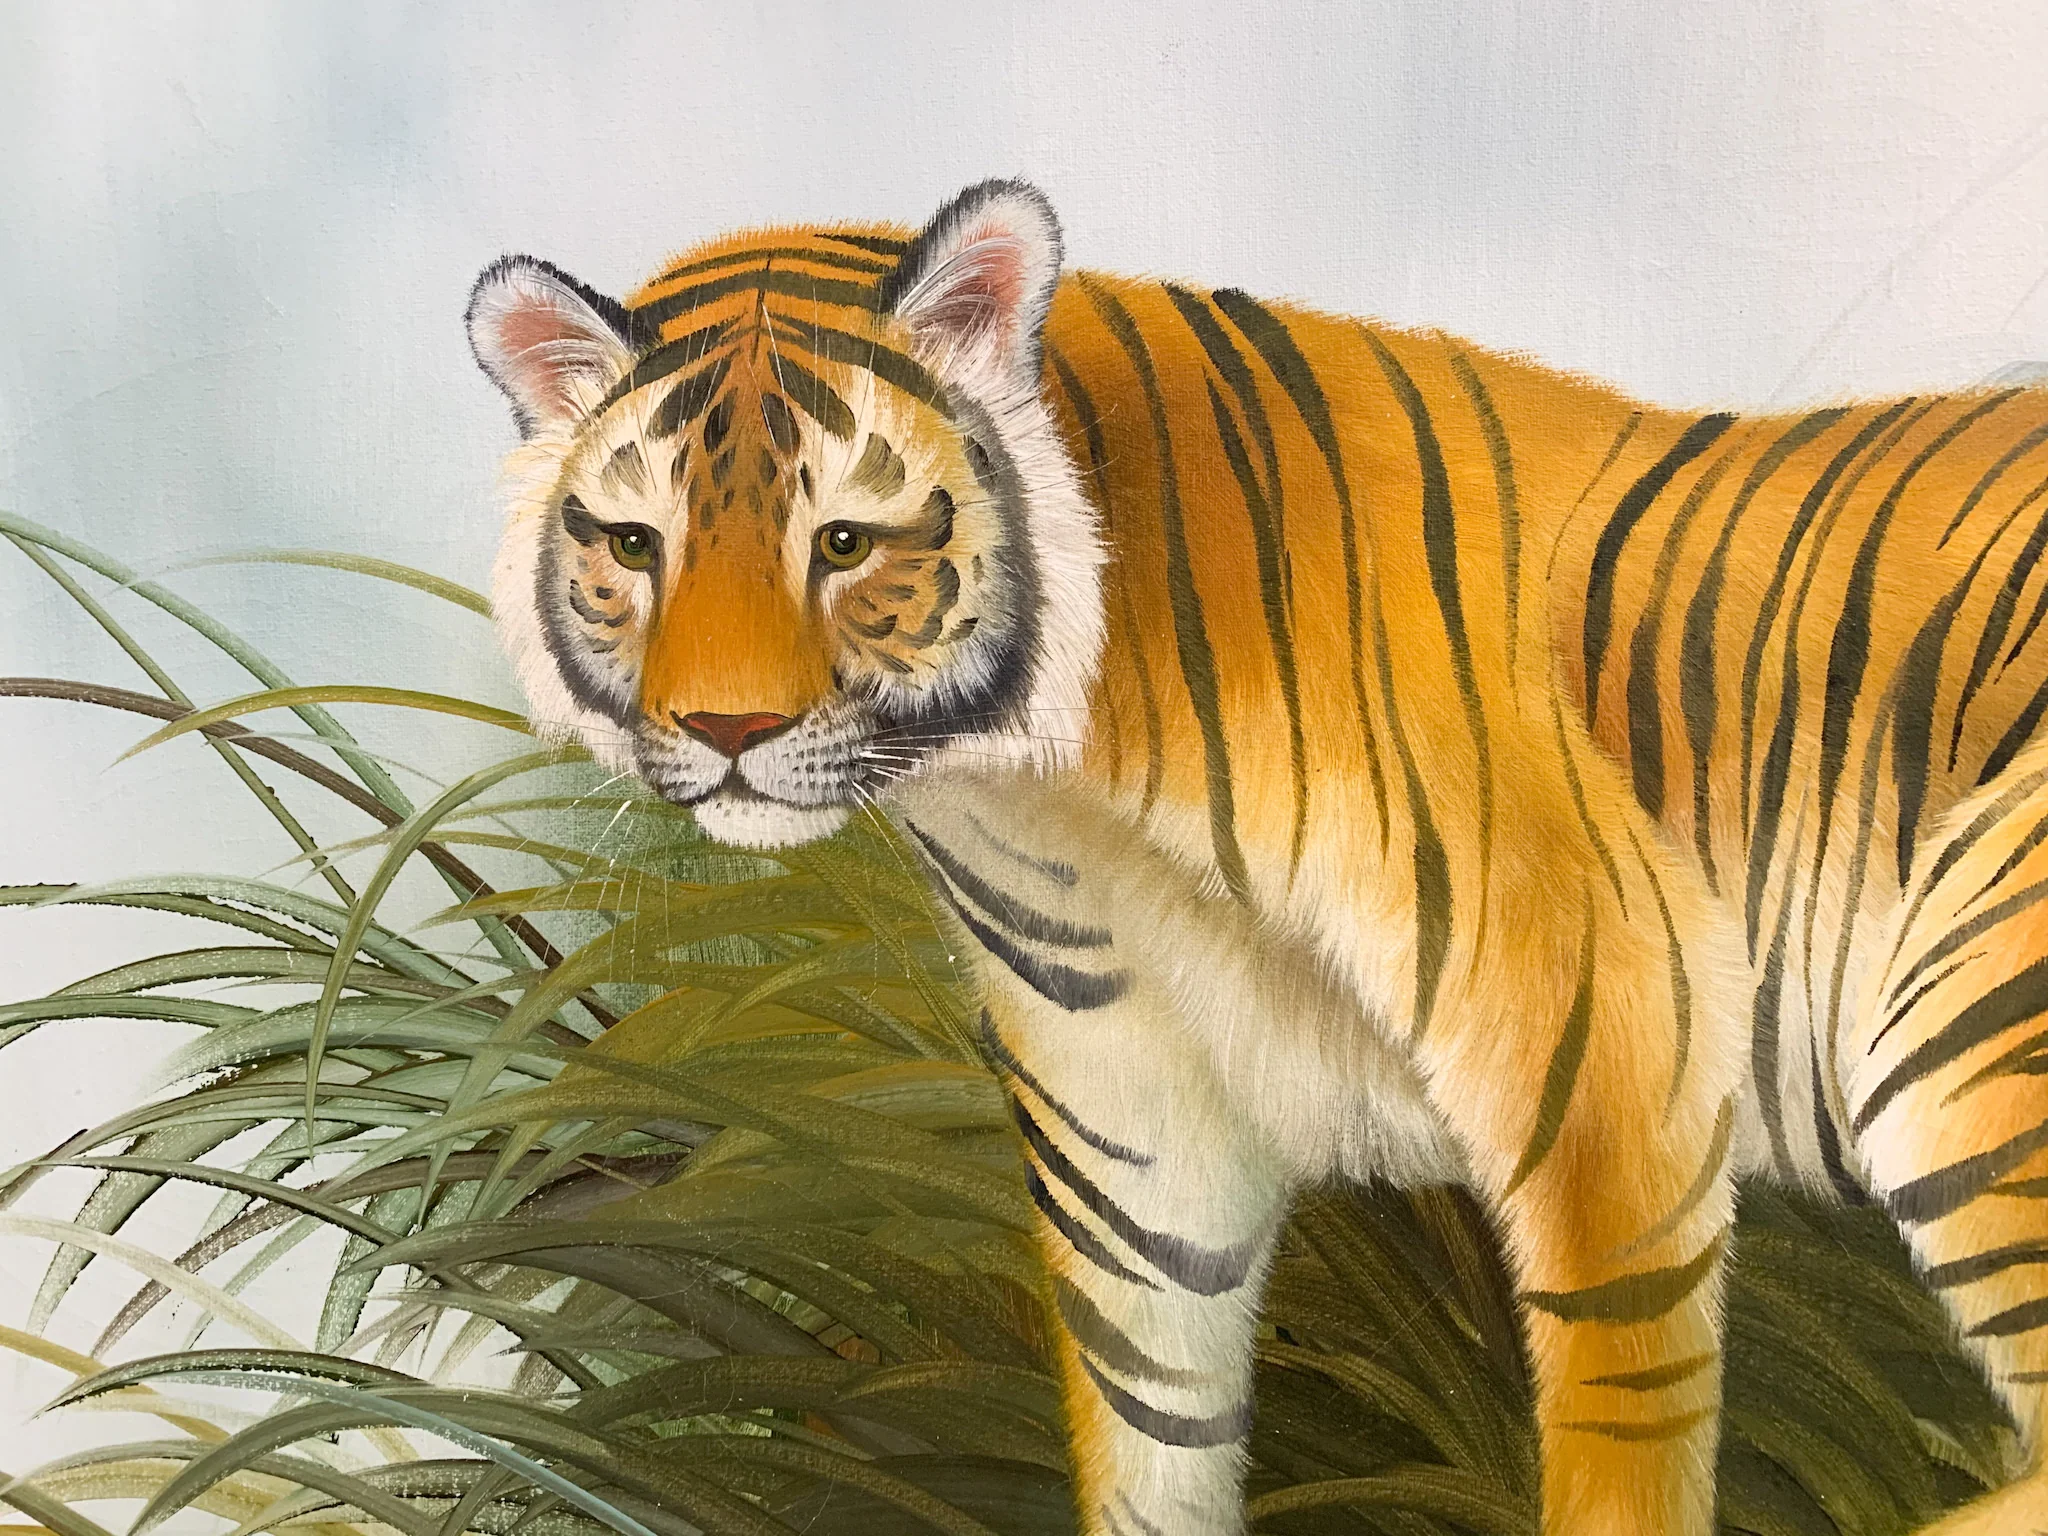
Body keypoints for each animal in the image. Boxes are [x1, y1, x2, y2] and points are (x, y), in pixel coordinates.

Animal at [465, 177, 2048, 1535]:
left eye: (846, 543)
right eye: (634, 545)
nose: (726, 729)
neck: (1046, 799)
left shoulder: (1609, 1089)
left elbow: (1620, 1454)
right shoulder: (1135, 1158)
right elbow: (1154, 1435)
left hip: (1960, 1053)